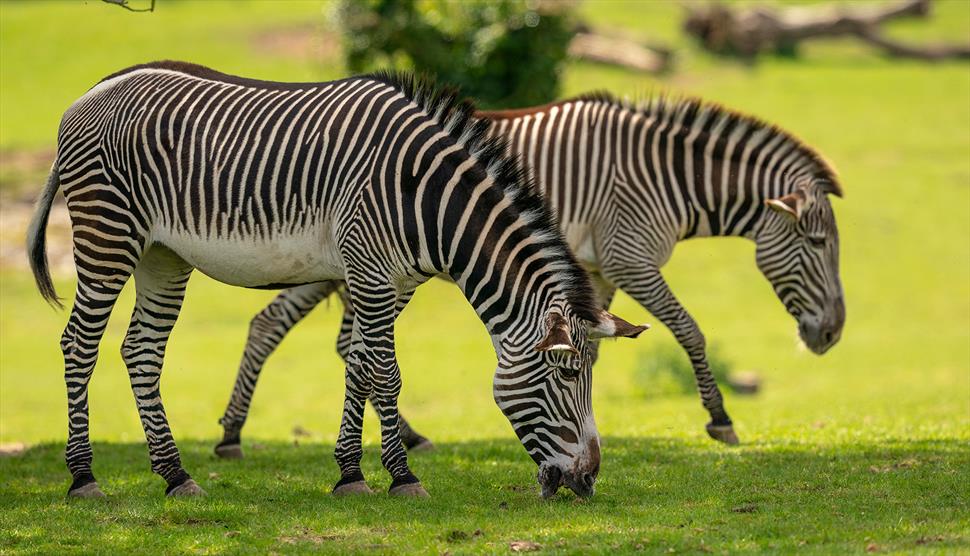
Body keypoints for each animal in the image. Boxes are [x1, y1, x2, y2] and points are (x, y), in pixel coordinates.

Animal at [26, 62, 648, 500]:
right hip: (108, 234)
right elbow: (386, 375)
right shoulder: (368, 270)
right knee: (80, 345)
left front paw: (351, 473)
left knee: (142, 351)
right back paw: (83, 478)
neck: (423, 198)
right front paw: (402, 477)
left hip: (163, 254)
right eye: (567, 375)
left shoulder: (393, 281)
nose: (588, 482)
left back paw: (175, 475)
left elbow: (360, 364)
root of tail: (88, 95)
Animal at [212, 92, 840, 456]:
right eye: (817, 243)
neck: (664, 174)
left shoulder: (594, 271)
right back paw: (235, 435)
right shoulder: (629, 256)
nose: (832, 334)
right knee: (282, 329)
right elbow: (689, 329)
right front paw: (720, 420)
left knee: (316, 337)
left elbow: (594, 345)